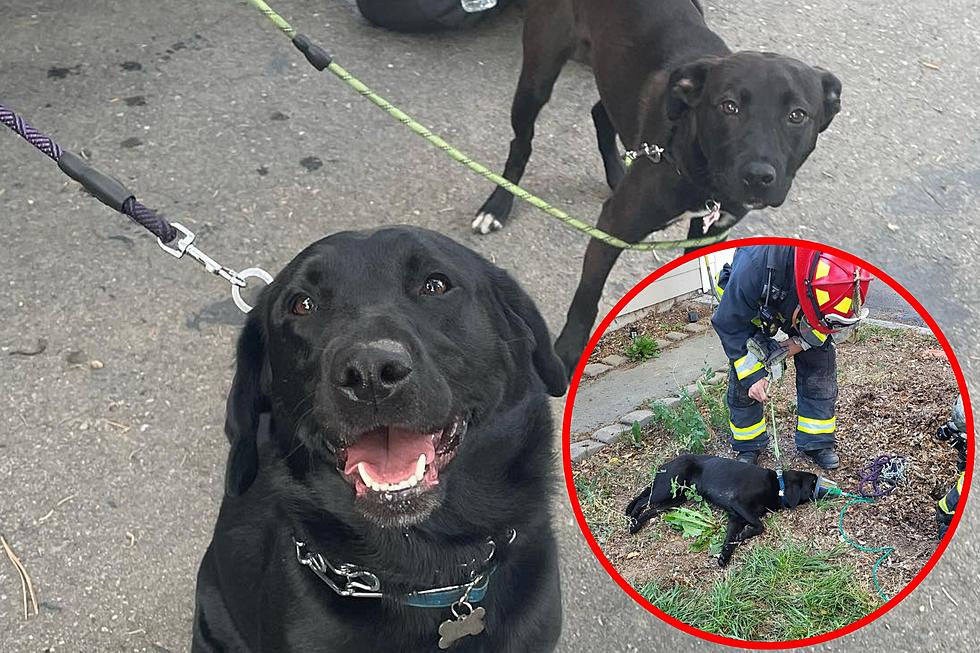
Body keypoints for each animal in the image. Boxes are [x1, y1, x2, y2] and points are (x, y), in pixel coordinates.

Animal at [472, 0, 844, 372]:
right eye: (729, 107)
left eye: (797, 115)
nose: (757, 176)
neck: (696, 167)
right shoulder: (612, 228)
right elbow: (587, 295)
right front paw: (568, 352)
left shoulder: (708, 233)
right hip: (537, 76)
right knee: (521, 144)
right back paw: (497, 205)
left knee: (599, 113)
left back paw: (616, 174)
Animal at [624, 454, 824, 564]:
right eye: (813, 482)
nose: (826, 488)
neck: (778, 485)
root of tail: (664, 465)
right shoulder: (739, 504)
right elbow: (760, 526)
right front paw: (745, 534)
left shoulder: (735, 517)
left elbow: (730, 539)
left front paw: (725, 555)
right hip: (666, 489)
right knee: (641, 501)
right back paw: (633, 522)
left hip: (675, 499)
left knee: (650, 510)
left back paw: (638, 522)